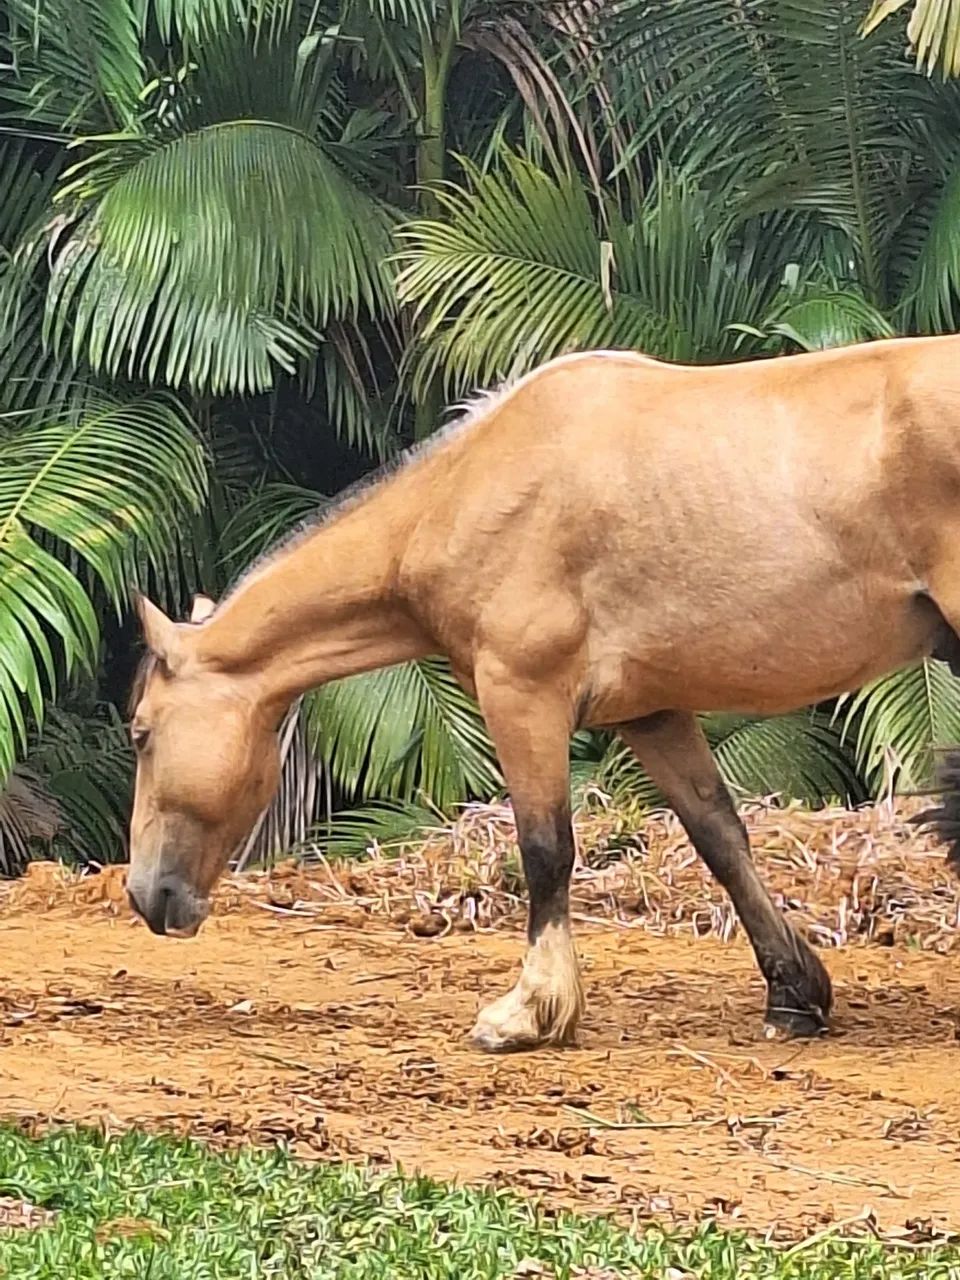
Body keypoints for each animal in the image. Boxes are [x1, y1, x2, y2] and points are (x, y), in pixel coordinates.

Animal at [126, 336, 960, 1054]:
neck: (464, 493)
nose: (145, 895)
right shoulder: (652, 714)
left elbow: (545, 849)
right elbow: (721, 838)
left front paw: (530, 1012)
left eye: (141, 732)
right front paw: (794, 993)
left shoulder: (522, 696)